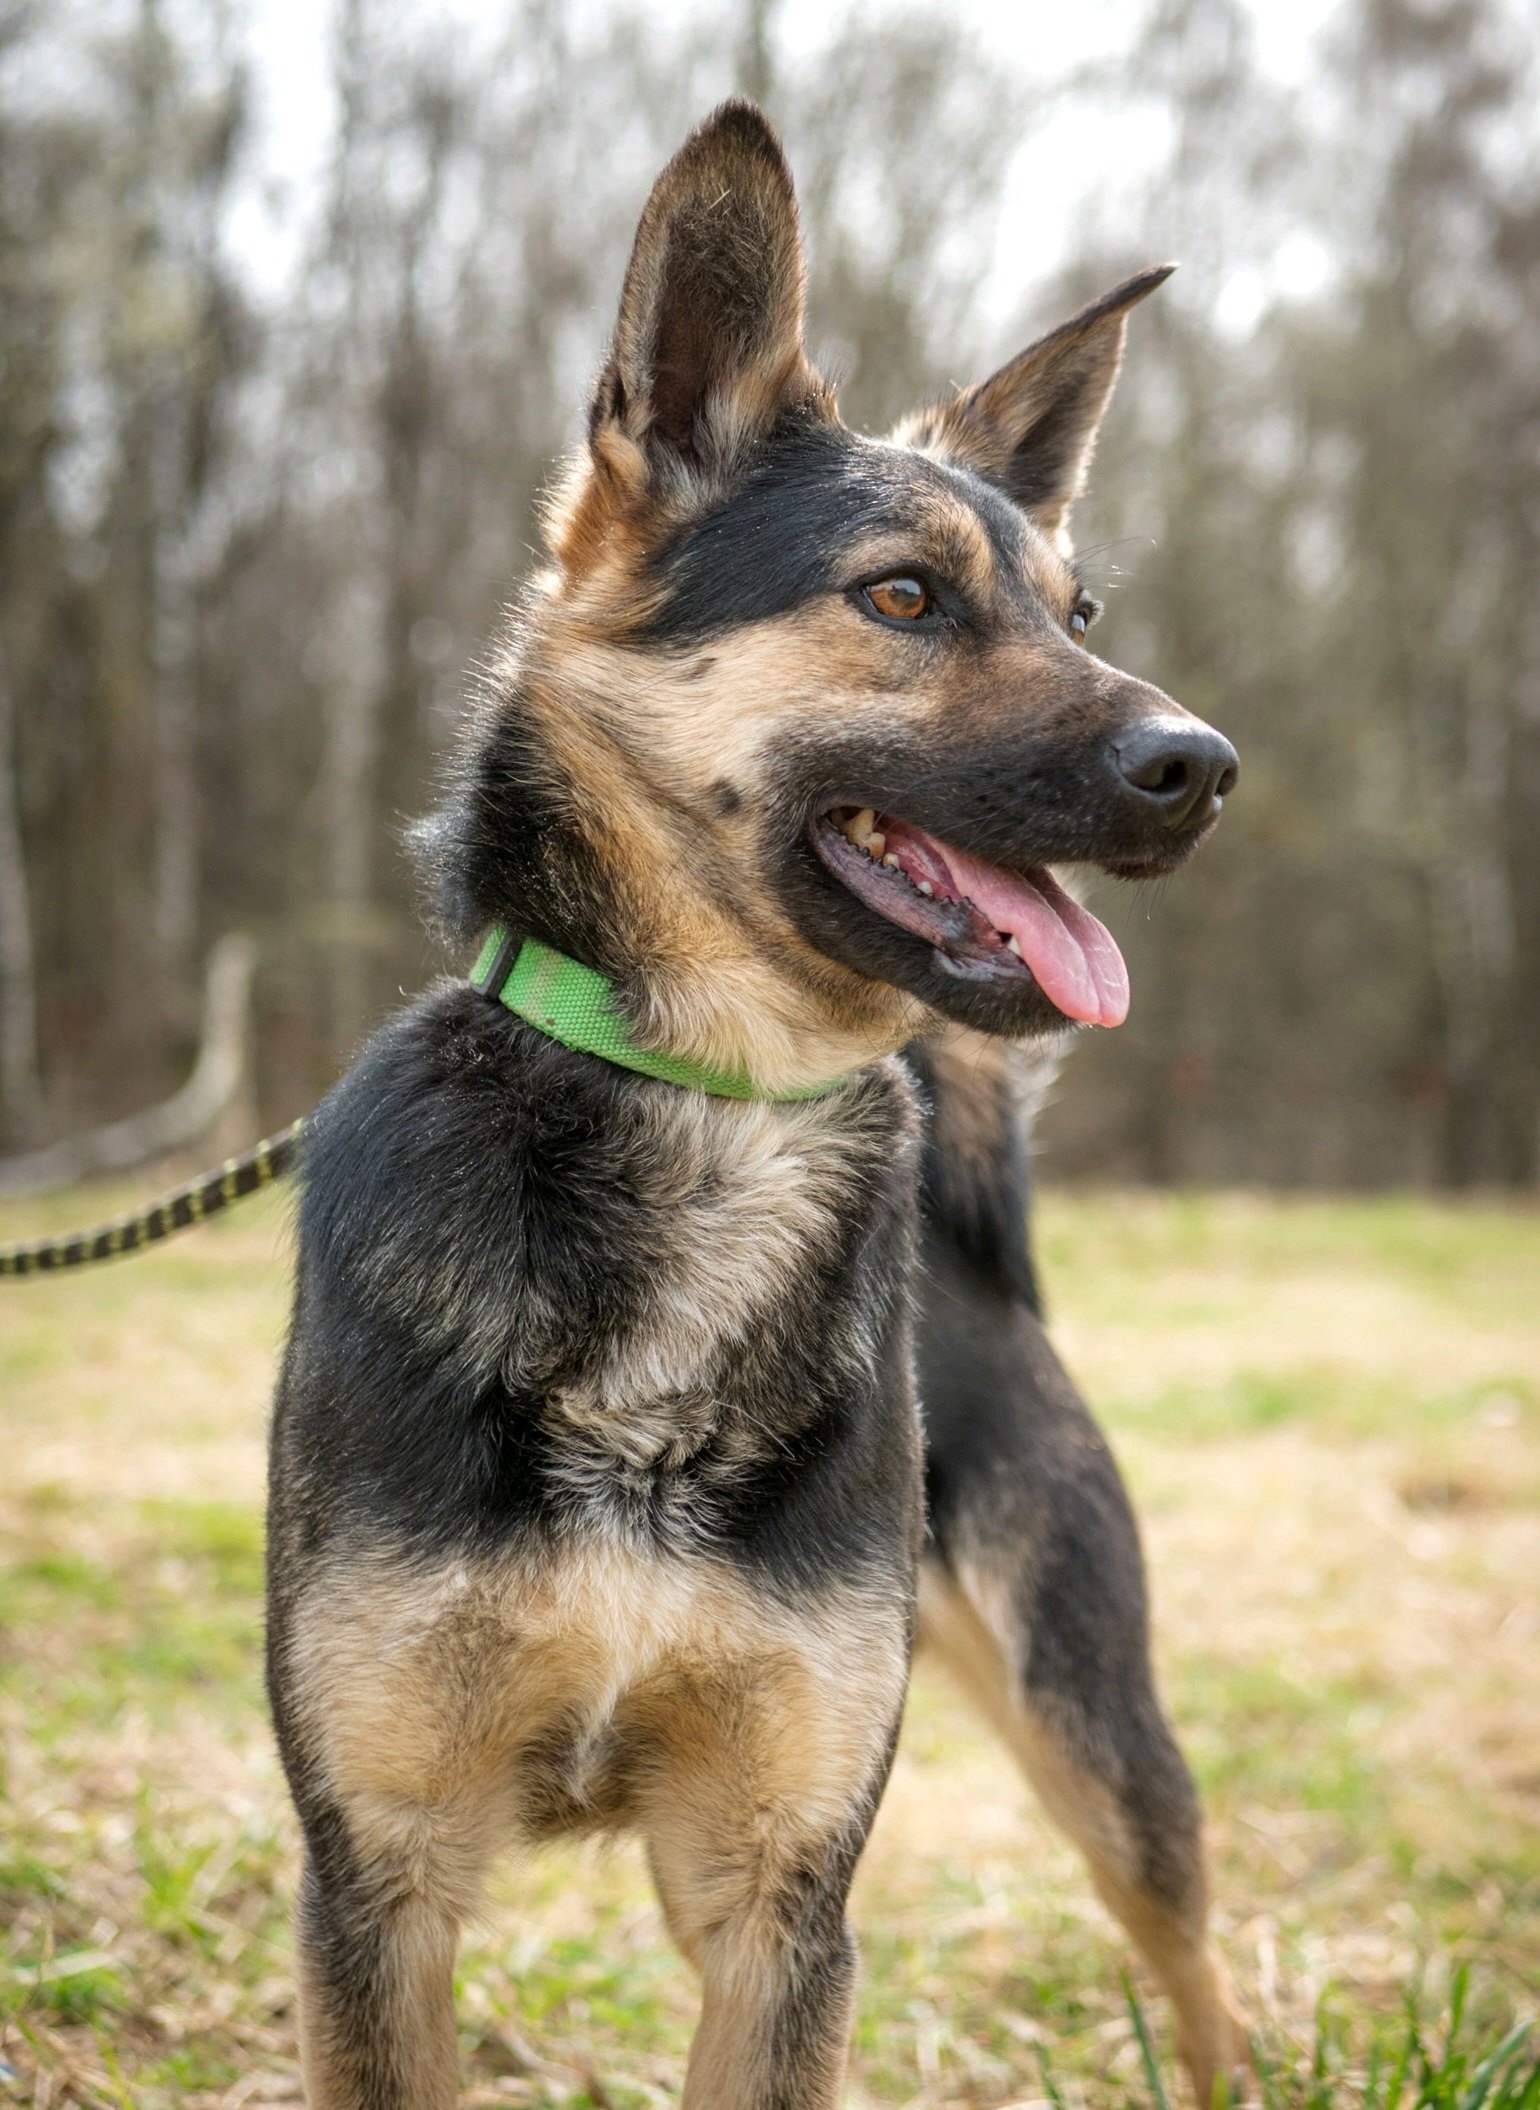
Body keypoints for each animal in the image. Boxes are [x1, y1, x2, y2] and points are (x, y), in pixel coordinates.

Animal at [263, 99, 1240, 2110]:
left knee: (1200, 1974)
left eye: (1079, 610)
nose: (1205, 765)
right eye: (902, 596)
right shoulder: (379, 1879)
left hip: (1099, 1734)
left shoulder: (781, 1893)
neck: (715, 1108)